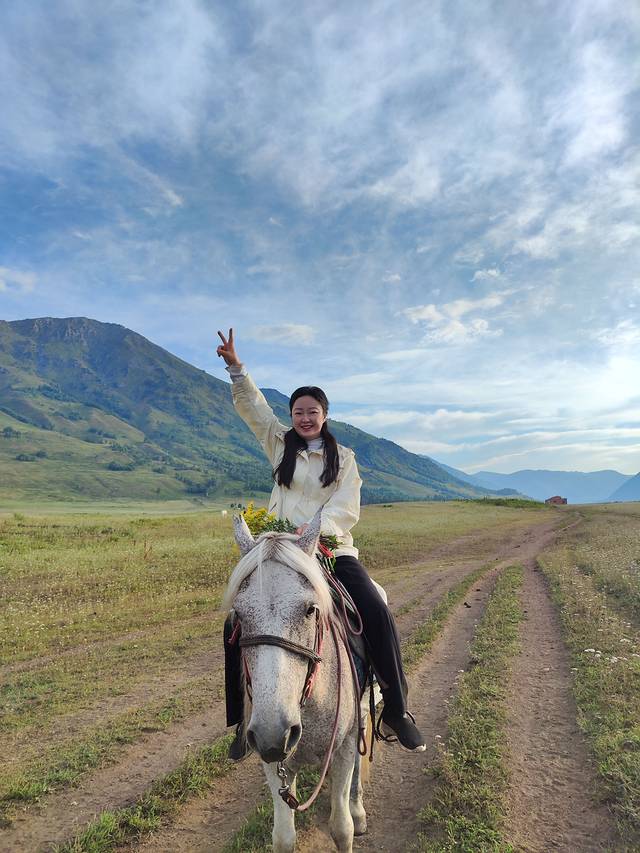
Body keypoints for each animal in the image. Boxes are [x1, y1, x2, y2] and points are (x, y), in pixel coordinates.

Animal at [224, 511, 368, 853]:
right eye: (239, 614)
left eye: (310, 609)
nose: (273, 734)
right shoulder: (272, 761)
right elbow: (283, 837)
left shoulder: (343, 747)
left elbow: (342, 828)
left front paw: (350, 817)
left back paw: (358, 809)